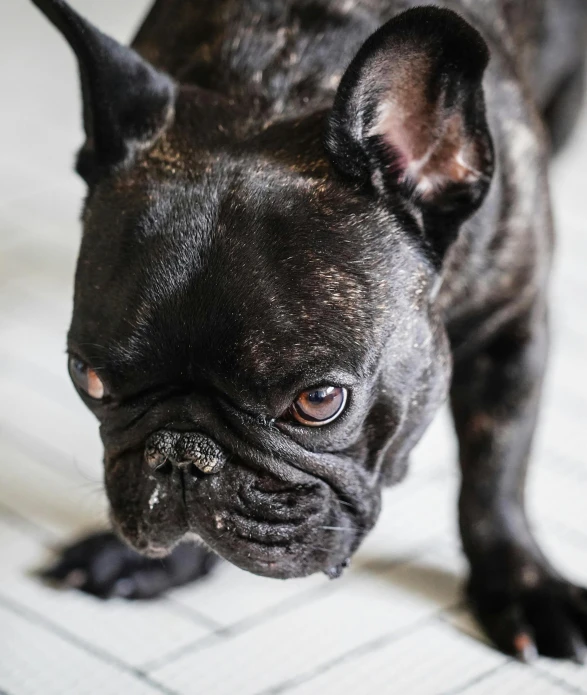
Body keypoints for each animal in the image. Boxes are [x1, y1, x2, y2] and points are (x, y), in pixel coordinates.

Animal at [31, 0, 587, 664]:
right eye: (87, 378)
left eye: (319, 402)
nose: (182, 454)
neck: (276, 83)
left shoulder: (512, 322)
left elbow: (495, 470)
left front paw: (519, 585)